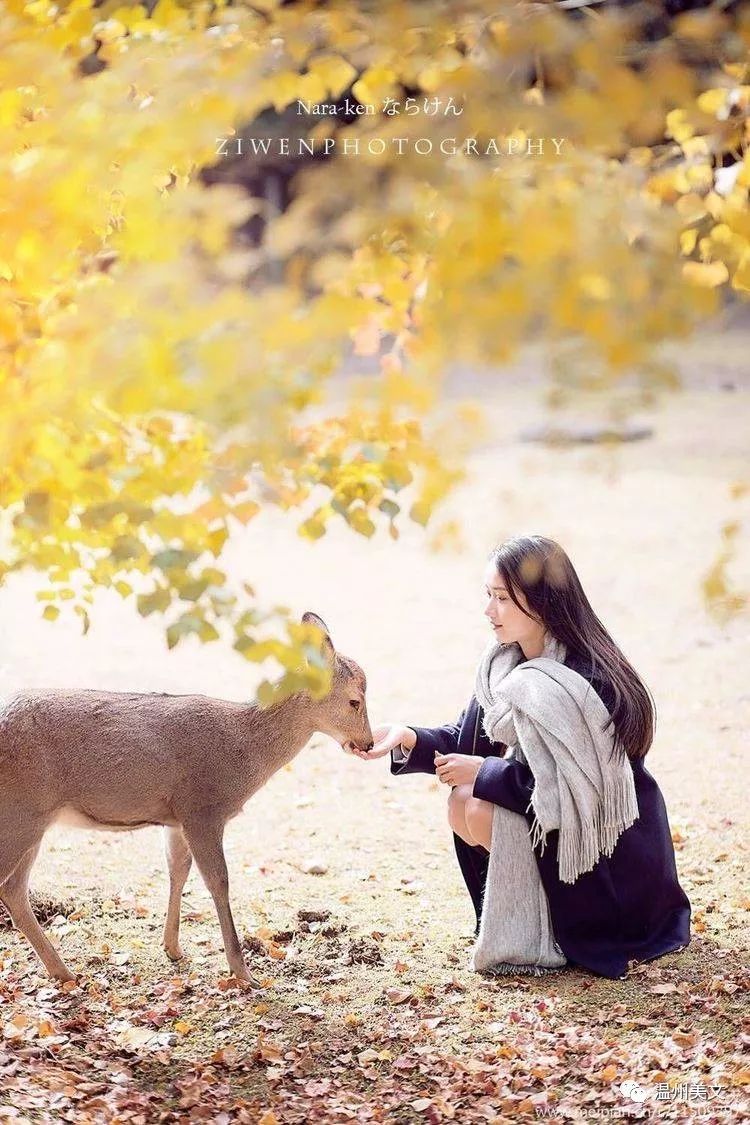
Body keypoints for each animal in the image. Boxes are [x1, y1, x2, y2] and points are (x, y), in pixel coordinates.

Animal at [0, 616, 373, 985]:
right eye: (355, 700)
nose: (367, 743)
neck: (244, 752)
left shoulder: (176, 816)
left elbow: (177, 870)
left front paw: (173, 948)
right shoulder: (202, 808)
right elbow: (218, 880)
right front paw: (243, 972)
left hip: (32, 819)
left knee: (14, 890)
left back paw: (62, 971)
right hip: (20, 811)